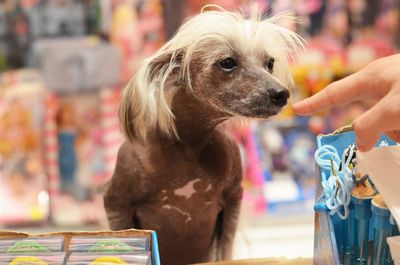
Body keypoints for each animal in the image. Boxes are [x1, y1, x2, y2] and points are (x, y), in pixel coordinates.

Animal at [104, 6, 304, 264]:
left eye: (269, 63)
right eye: (227, 63)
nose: (281, 94)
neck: (188, 148)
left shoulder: (233, 201)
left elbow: (225, 248)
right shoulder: (116, 204)